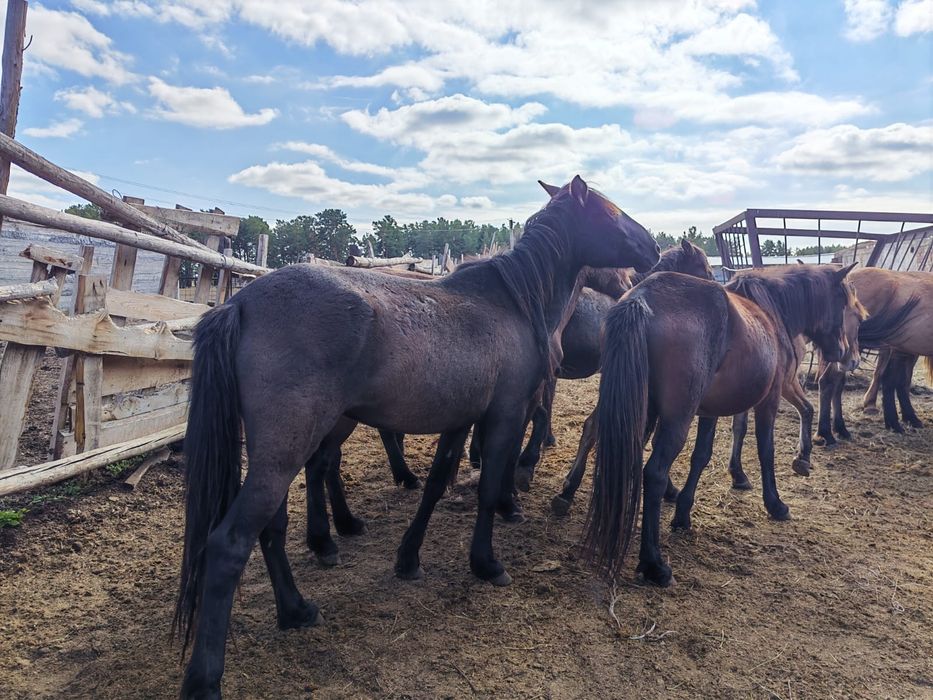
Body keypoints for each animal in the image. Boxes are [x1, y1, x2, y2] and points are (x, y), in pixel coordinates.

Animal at [174, 176, 660, 698]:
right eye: (611, 213)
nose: (652, 251)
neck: (511, 303)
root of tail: (240, 303)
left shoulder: (460, 420)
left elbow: (436, 483)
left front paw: (408, 558)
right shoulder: (506, 416)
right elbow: (489, 487)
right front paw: (486, 562)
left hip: (279, 451)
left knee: (272, 528)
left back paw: (297, 608)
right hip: (286, 450)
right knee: (231, 542)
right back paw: (206, 678)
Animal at [587, 264, 857, 586]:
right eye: (843, 303)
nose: (844, 353)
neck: (772, 311)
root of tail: (640, 299)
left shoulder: (709, 411)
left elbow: (701, 456)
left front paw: (683, 515)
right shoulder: (769, 400)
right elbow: (766, 452)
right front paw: (775, 503)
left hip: (637, 409)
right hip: (675, 419)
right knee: (654, 473)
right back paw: (654, 564)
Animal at [816, 268, 931, 438]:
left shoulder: (905, 350)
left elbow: (901, 381)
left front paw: (906, 418)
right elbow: (893, 381)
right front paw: (897, 422)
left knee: (837, 383)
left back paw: (840, 429)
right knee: (828, 381)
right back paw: (826, 433)